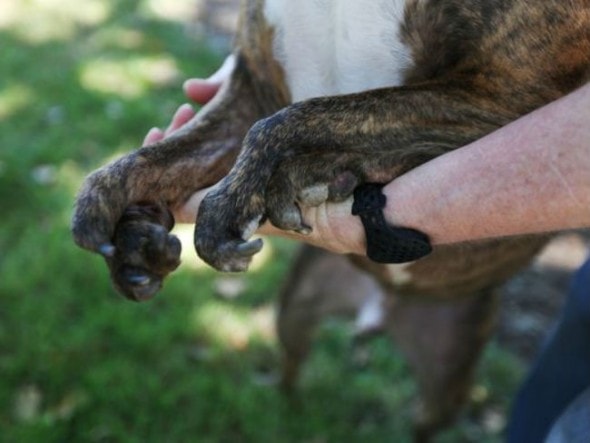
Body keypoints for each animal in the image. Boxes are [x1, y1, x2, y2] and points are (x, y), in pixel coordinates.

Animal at [73, 0, 590, 440]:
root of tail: (379, 306)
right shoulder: (250, 89)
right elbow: (162, 155)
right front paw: (115, 211)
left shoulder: (508, 93)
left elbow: (303, 118)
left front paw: (240, 199)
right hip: (294, 312)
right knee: (291, 374)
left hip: (449, 380)